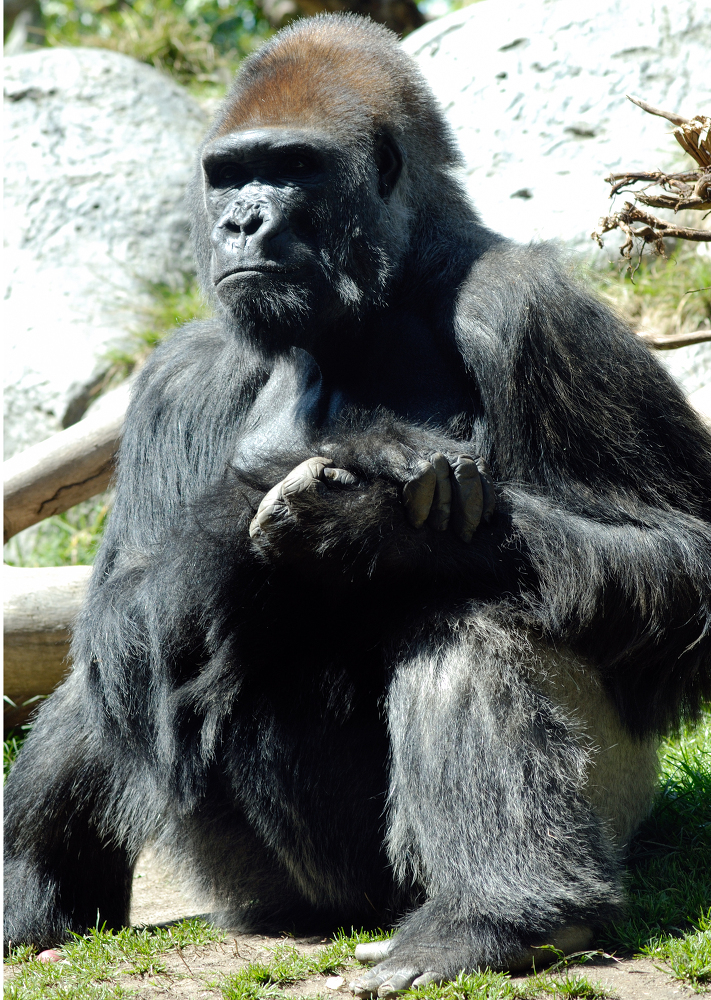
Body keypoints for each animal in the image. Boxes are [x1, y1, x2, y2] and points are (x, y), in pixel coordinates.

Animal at [5, 11, 711, 996]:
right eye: (227, 174)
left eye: (291, 166)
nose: (239, 221)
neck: (374, 299)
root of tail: (347, 916)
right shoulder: (175, 378)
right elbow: (120, 609)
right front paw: (315, 475)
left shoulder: (531, 311)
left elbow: (676, 549)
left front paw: (373, 527)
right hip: (268, 890)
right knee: (118, 668)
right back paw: (30, 899)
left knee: (476, 609)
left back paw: (503, 915)